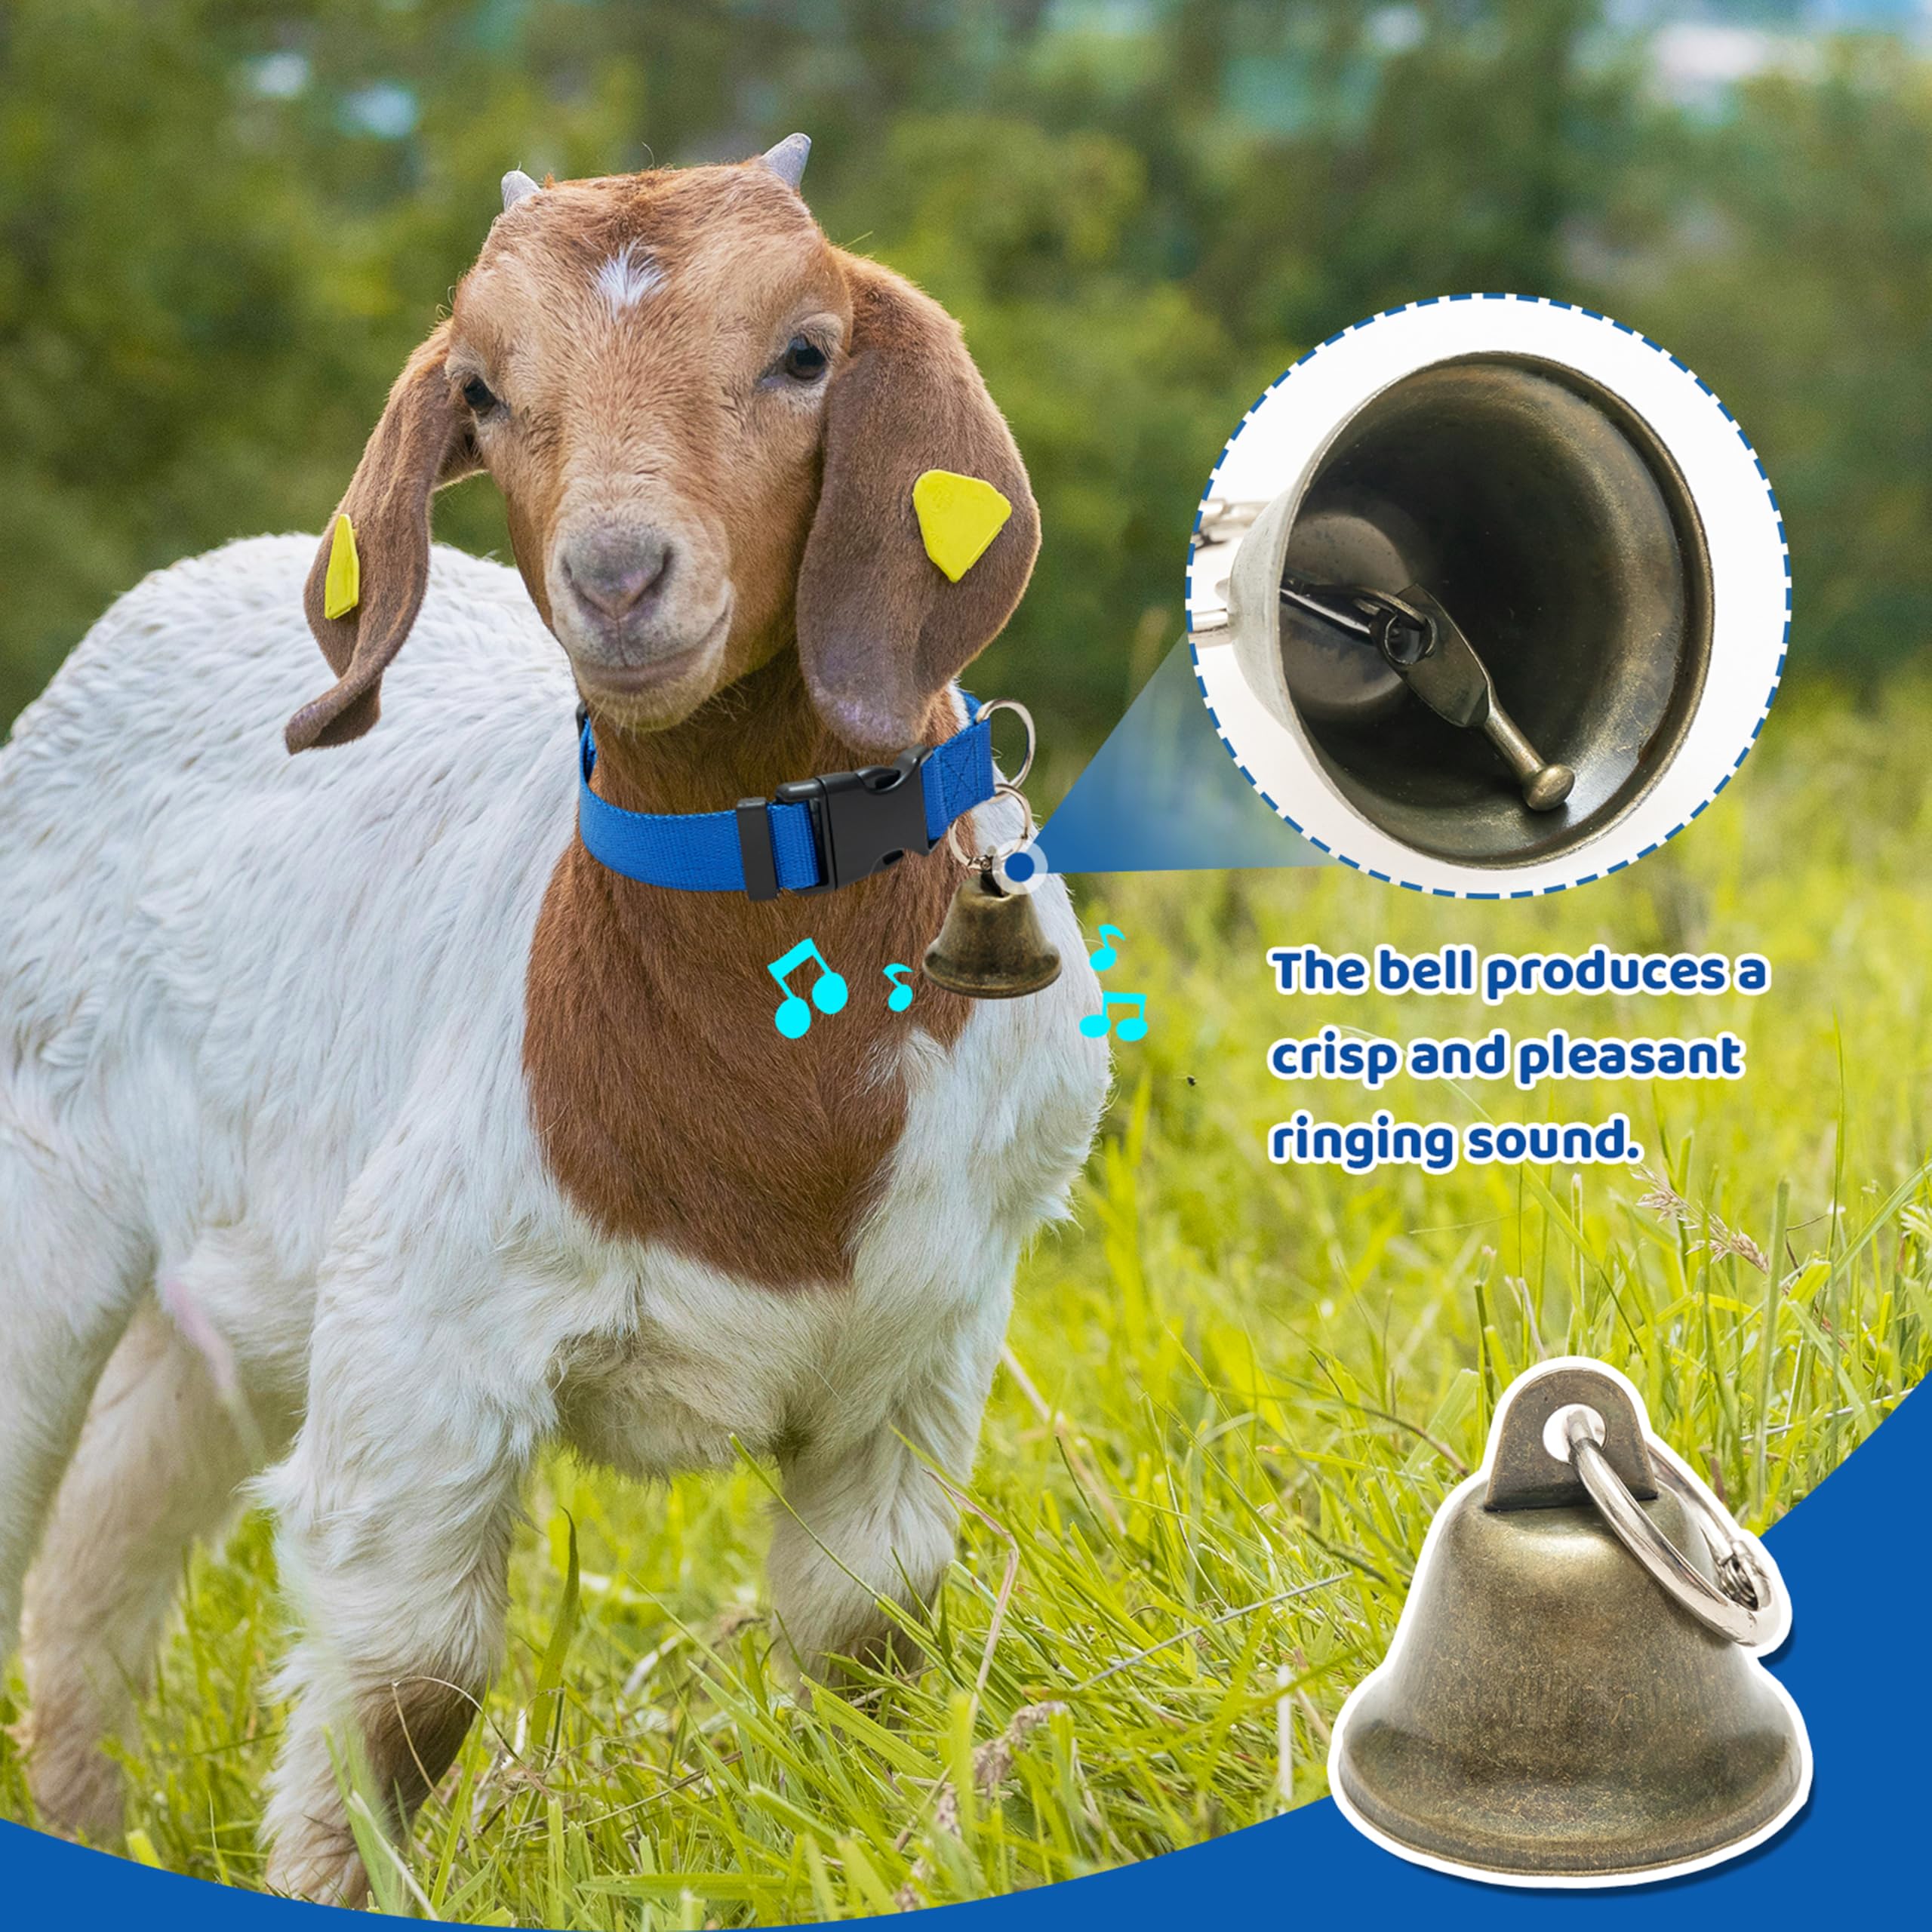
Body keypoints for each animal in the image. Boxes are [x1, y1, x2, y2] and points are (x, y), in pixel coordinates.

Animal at [0, 140, 1107, 1901]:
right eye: (483, 389)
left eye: (805, 352)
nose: (618, 576)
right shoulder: (422, 1322)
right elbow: (410, 1682)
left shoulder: (930, 1336)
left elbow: (868, 1631)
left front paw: (895, 1838)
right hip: (46, 1189)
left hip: (236, 1274)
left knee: (102, 1553)